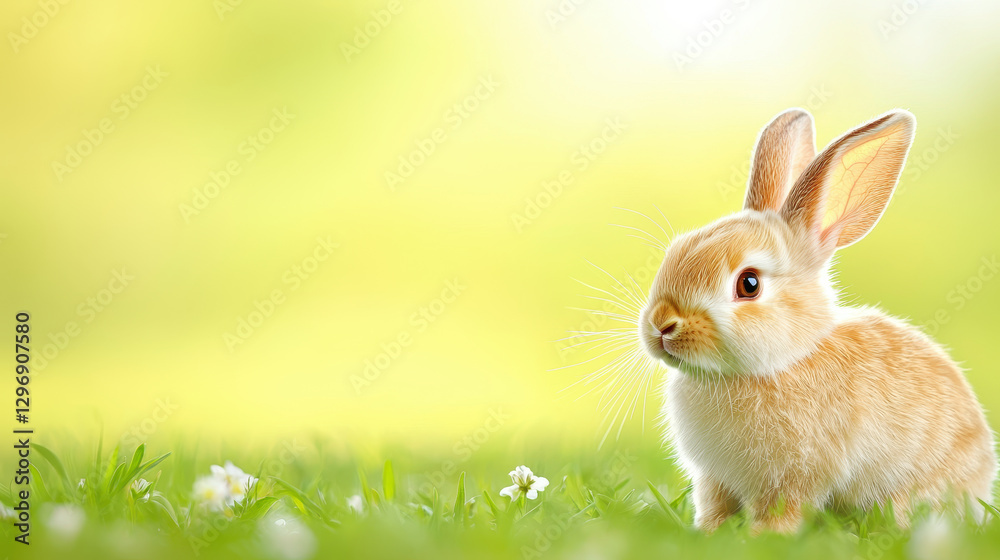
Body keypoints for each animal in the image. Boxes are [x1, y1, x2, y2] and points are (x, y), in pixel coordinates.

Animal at [638, 108, 996, 533]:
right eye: (676, 250)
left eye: (749, 284)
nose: (662, 325)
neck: (782, 361)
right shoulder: (714, 478)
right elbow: (715, 506)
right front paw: (710, 533)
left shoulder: (793, 476)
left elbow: (783, 510)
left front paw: (762, 537)